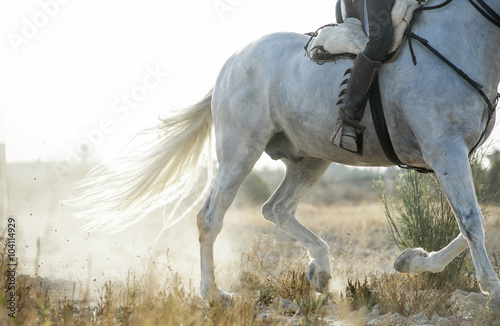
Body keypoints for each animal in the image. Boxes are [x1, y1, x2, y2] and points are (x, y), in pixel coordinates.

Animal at [73, 0, 500, 306]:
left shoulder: (454, 156)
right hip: (240, 152)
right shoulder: (445, 150)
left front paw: (411, 261)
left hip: (311, 158)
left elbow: (477, 221)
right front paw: (491, 289)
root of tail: (232, 62)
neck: (463, 39)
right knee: (210, 218)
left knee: (275, 209)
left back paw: (320, 271)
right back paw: (214, 294)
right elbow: (472, 221)